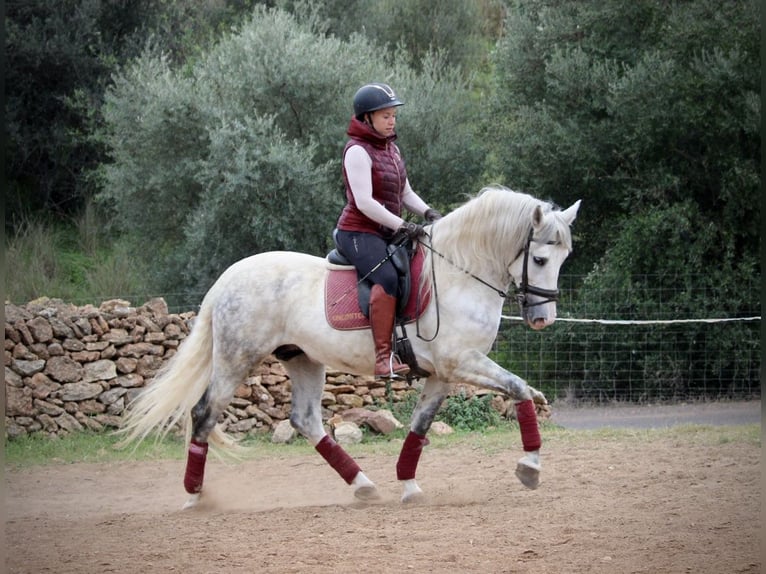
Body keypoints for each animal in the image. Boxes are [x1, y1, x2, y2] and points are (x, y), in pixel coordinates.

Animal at [119, 185, 581, 509]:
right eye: (540, 260)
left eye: (563, 259)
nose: (543, 319)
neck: (457, 272)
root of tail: (226, 279)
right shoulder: (462, 361)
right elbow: (519, 388)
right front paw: (529, 467)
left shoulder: (443, 374)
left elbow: (419, 427)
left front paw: (409, 485)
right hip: (237, 358)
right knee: (204, 414)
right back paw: (194, 497)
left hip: (303, 360)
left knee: (306, 420)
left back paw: (364, 485)